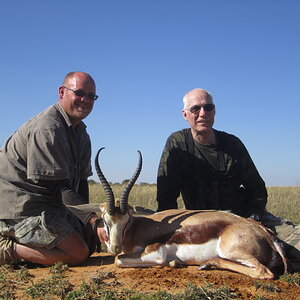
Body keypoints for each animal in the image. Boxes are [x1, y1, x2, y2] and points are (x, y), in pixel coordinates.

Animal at [74, 149, 286, 280]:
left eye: (127, 221)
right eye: (105, 221)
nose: (115, 247)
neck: (135, 230)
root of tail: (265, 233)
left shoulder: (155, 252)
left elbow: (120, 261)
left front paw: (171, 263)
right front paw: (175, 263)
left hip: (230, 251)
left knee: (263, 272)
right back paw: (203, 264)